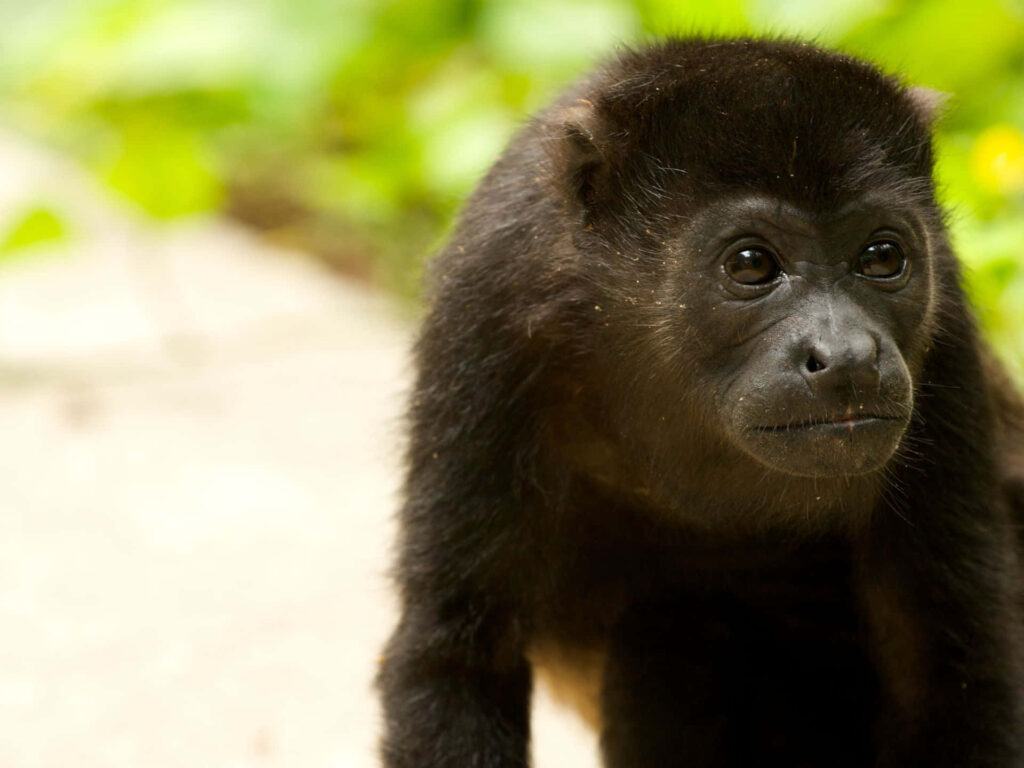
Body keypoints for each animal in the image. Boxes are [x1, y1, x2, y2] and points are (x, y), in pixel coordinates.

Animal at [377, 37, 1024, 767]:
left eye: (883, 256)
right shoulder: (487, 307)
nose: (850, 355)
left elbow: (954, 670)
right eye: (750, 265)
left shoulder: (948, 332)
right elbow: (457, 653)